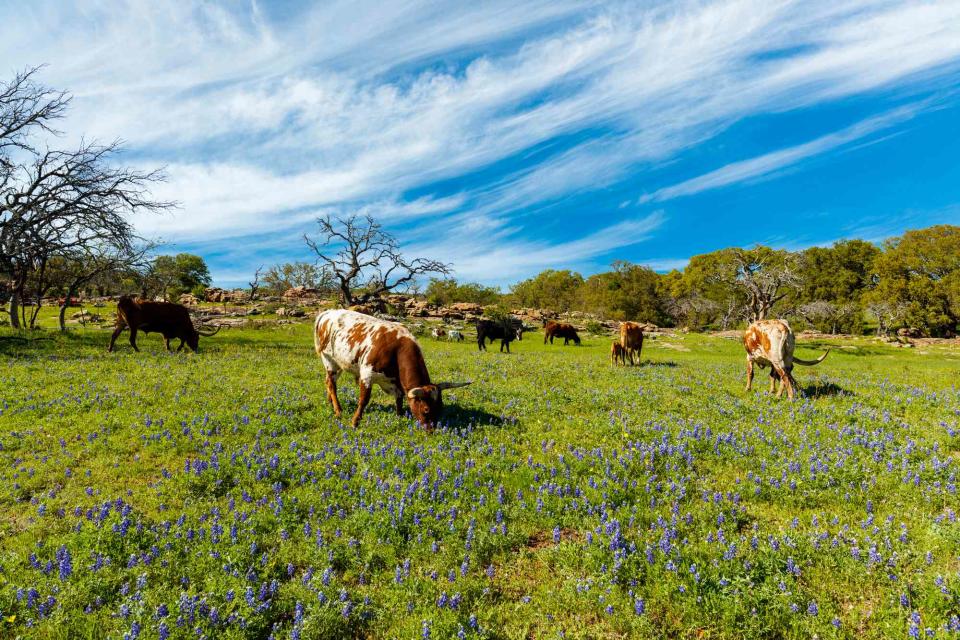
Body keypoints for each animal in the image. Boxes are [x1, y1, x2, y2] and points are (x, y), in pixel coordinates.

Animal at [314, 308, 470, 428]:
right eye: (426, 409)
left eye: (440, 407)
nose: (432, 430)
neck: (398, 349)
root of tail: (328, 312)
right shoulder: (367, 375)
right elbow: (363, 400)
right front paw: (355, 421)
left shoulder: (395, 381)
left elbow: (399, 398)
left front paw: (400, 416)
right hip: (329, 361)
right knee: (332, 385)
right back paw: (338, 410)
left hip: (339, 364)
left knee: (328, 383)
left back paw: (330, 403)